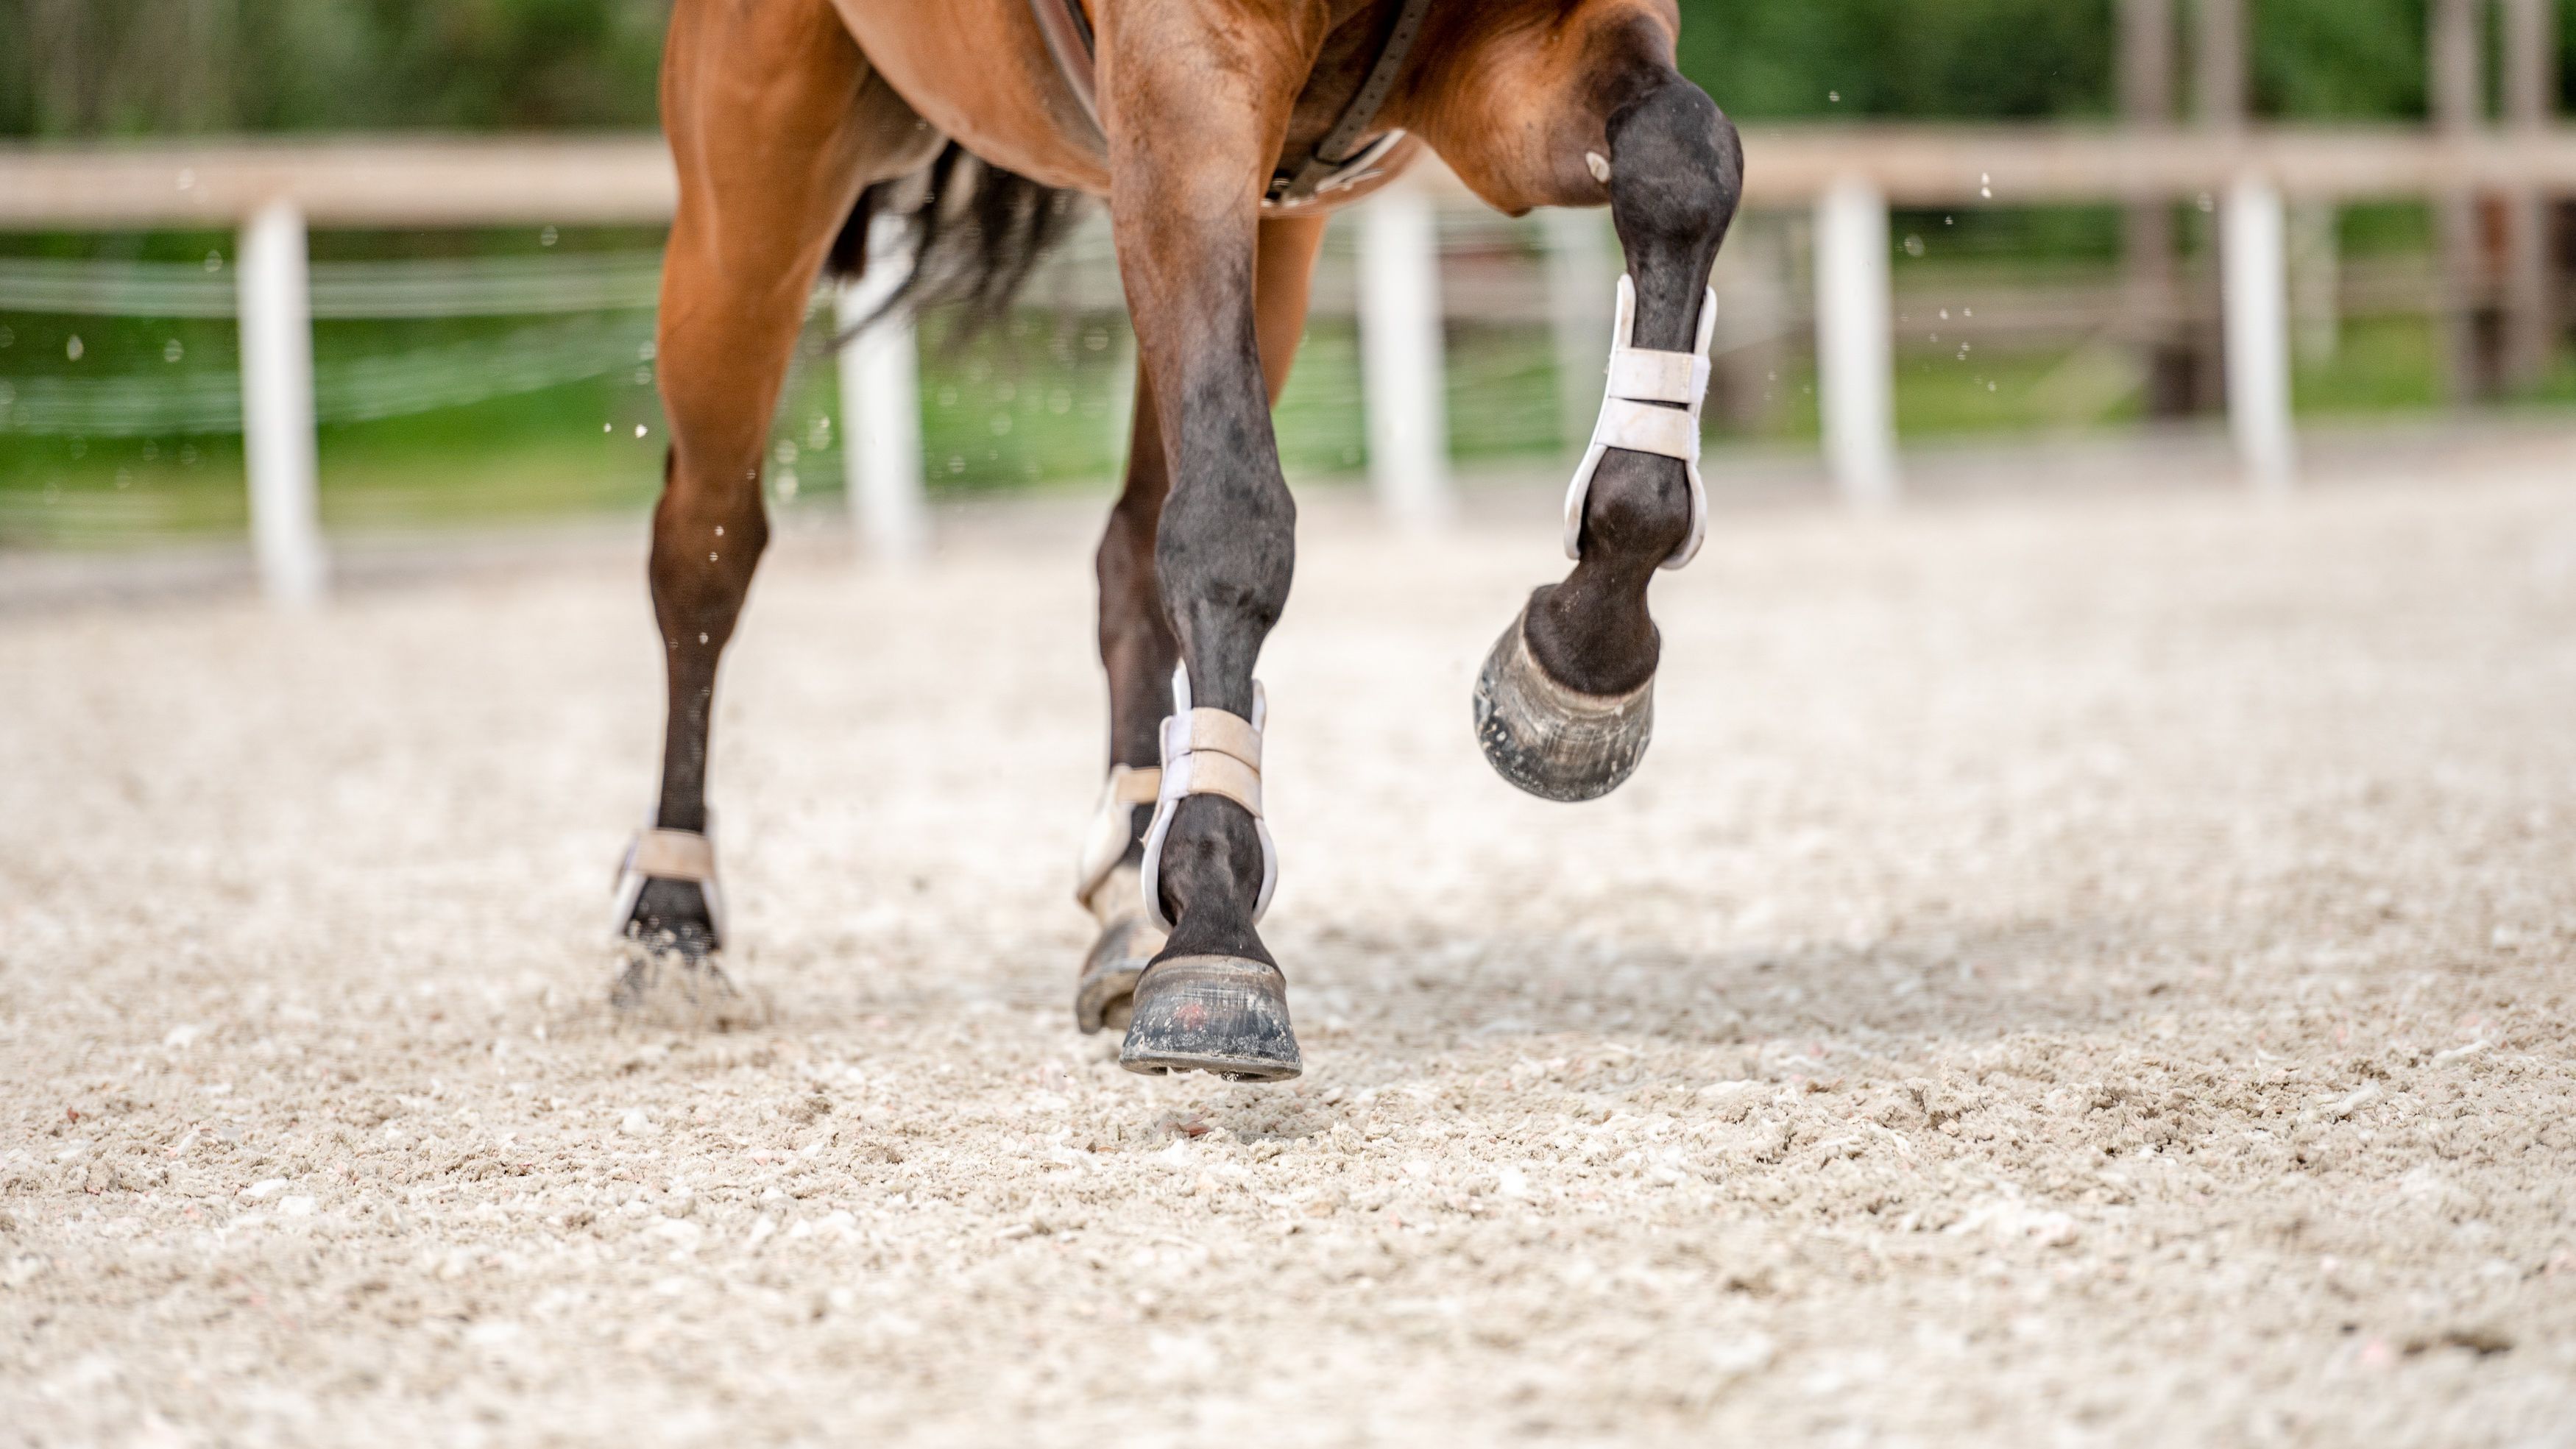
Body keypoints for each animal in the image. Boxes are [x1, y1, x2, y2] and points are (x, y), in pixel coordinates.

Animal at [610, 0, 1741, 1080]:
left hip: (1255, 232)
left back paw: (1126, 878)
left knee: (1126, 546)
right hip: (756, 196)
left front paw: (1578, 666)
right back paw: (670, 925)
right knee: (704, 550)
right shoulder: (1187, 91)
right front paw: (1216, 931)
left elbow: (1682, 157)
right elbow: (1231, 520)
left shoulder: (1519, 62)